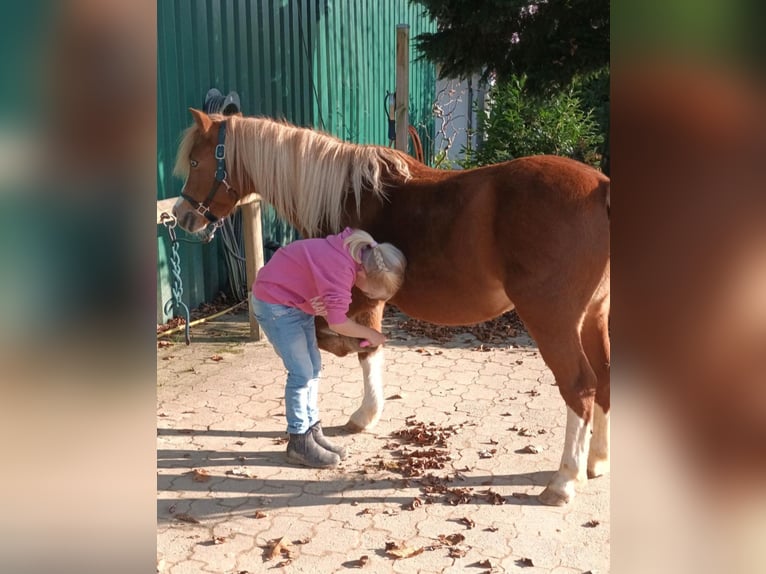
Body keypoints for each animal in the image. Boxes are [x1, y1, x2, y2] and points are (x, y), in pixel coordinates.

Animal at [172, 110, 612, 506]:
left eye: (196, 161)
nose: (182, 216)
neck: (342, 193)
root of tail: (600, 187)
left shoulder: (355, 299)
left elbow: (341, 343)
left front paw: (360, 407)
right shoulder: (371, 301)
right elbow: (366, 350)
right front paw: (366, 412)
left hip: (551, 321)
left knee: (579, 387)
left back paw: (564, 480)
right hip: (595, 316)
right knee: (604, 380)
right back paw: (596, 462)